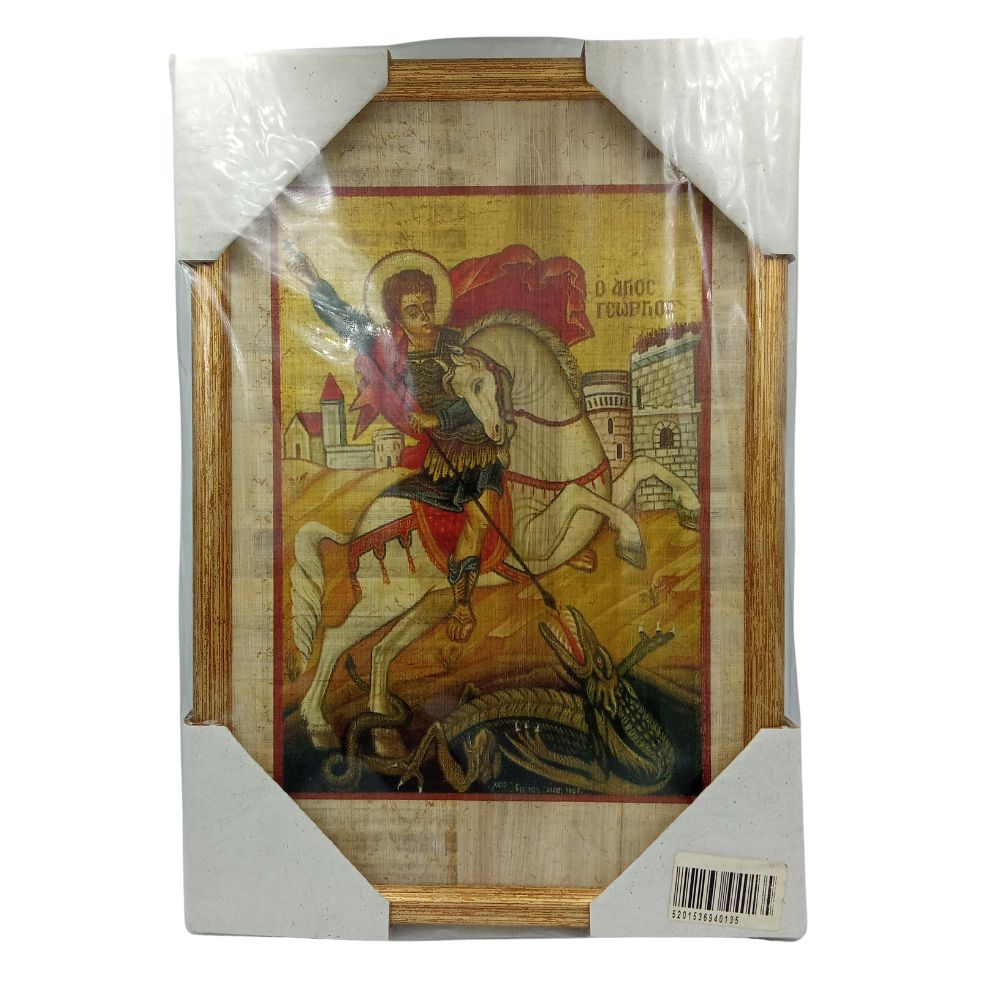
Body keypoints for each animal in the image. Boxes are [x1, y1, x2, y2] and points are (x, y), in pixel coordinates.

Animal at [291, 310, 700, 752]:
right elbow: (577, 494)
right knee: (334, 638)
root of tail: (356, 532)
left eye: (478, 384)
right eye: (461, 390)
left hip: (428, 602)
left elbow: (643, 466)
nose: (496, 433)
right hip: (384, 597)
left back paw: (384, 737)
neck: (549, 448)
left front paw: (690, 505)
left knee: (381, 651)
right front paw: (632, 541)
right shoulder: (536, 539)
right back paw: (318, 725)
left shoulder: (605, 498)